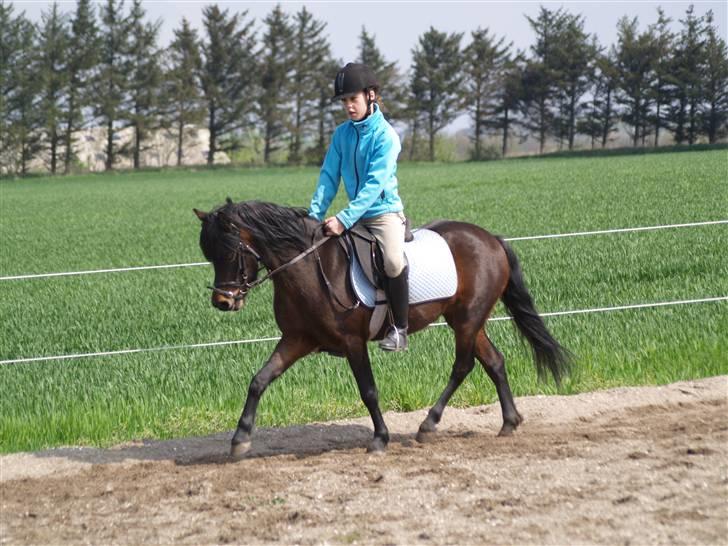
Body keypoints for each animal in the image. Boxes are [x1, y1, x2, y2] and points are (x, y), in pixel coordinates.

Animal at [193, 200, 568, 454]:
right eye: (208, 254)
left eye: (230, 251)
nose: (223, 301)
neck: (311, 269)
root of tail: (490, 238)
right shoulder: (297, 339)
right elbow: (259, 380)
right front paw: (240, 439)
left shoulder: (353, 342)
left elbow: (368, 390)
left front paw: (380, 438)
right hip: (468, 321)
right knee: (494, 362)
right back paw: (509, 422)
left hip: (466, 320)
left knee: (463, 366)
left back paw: (429, 424)